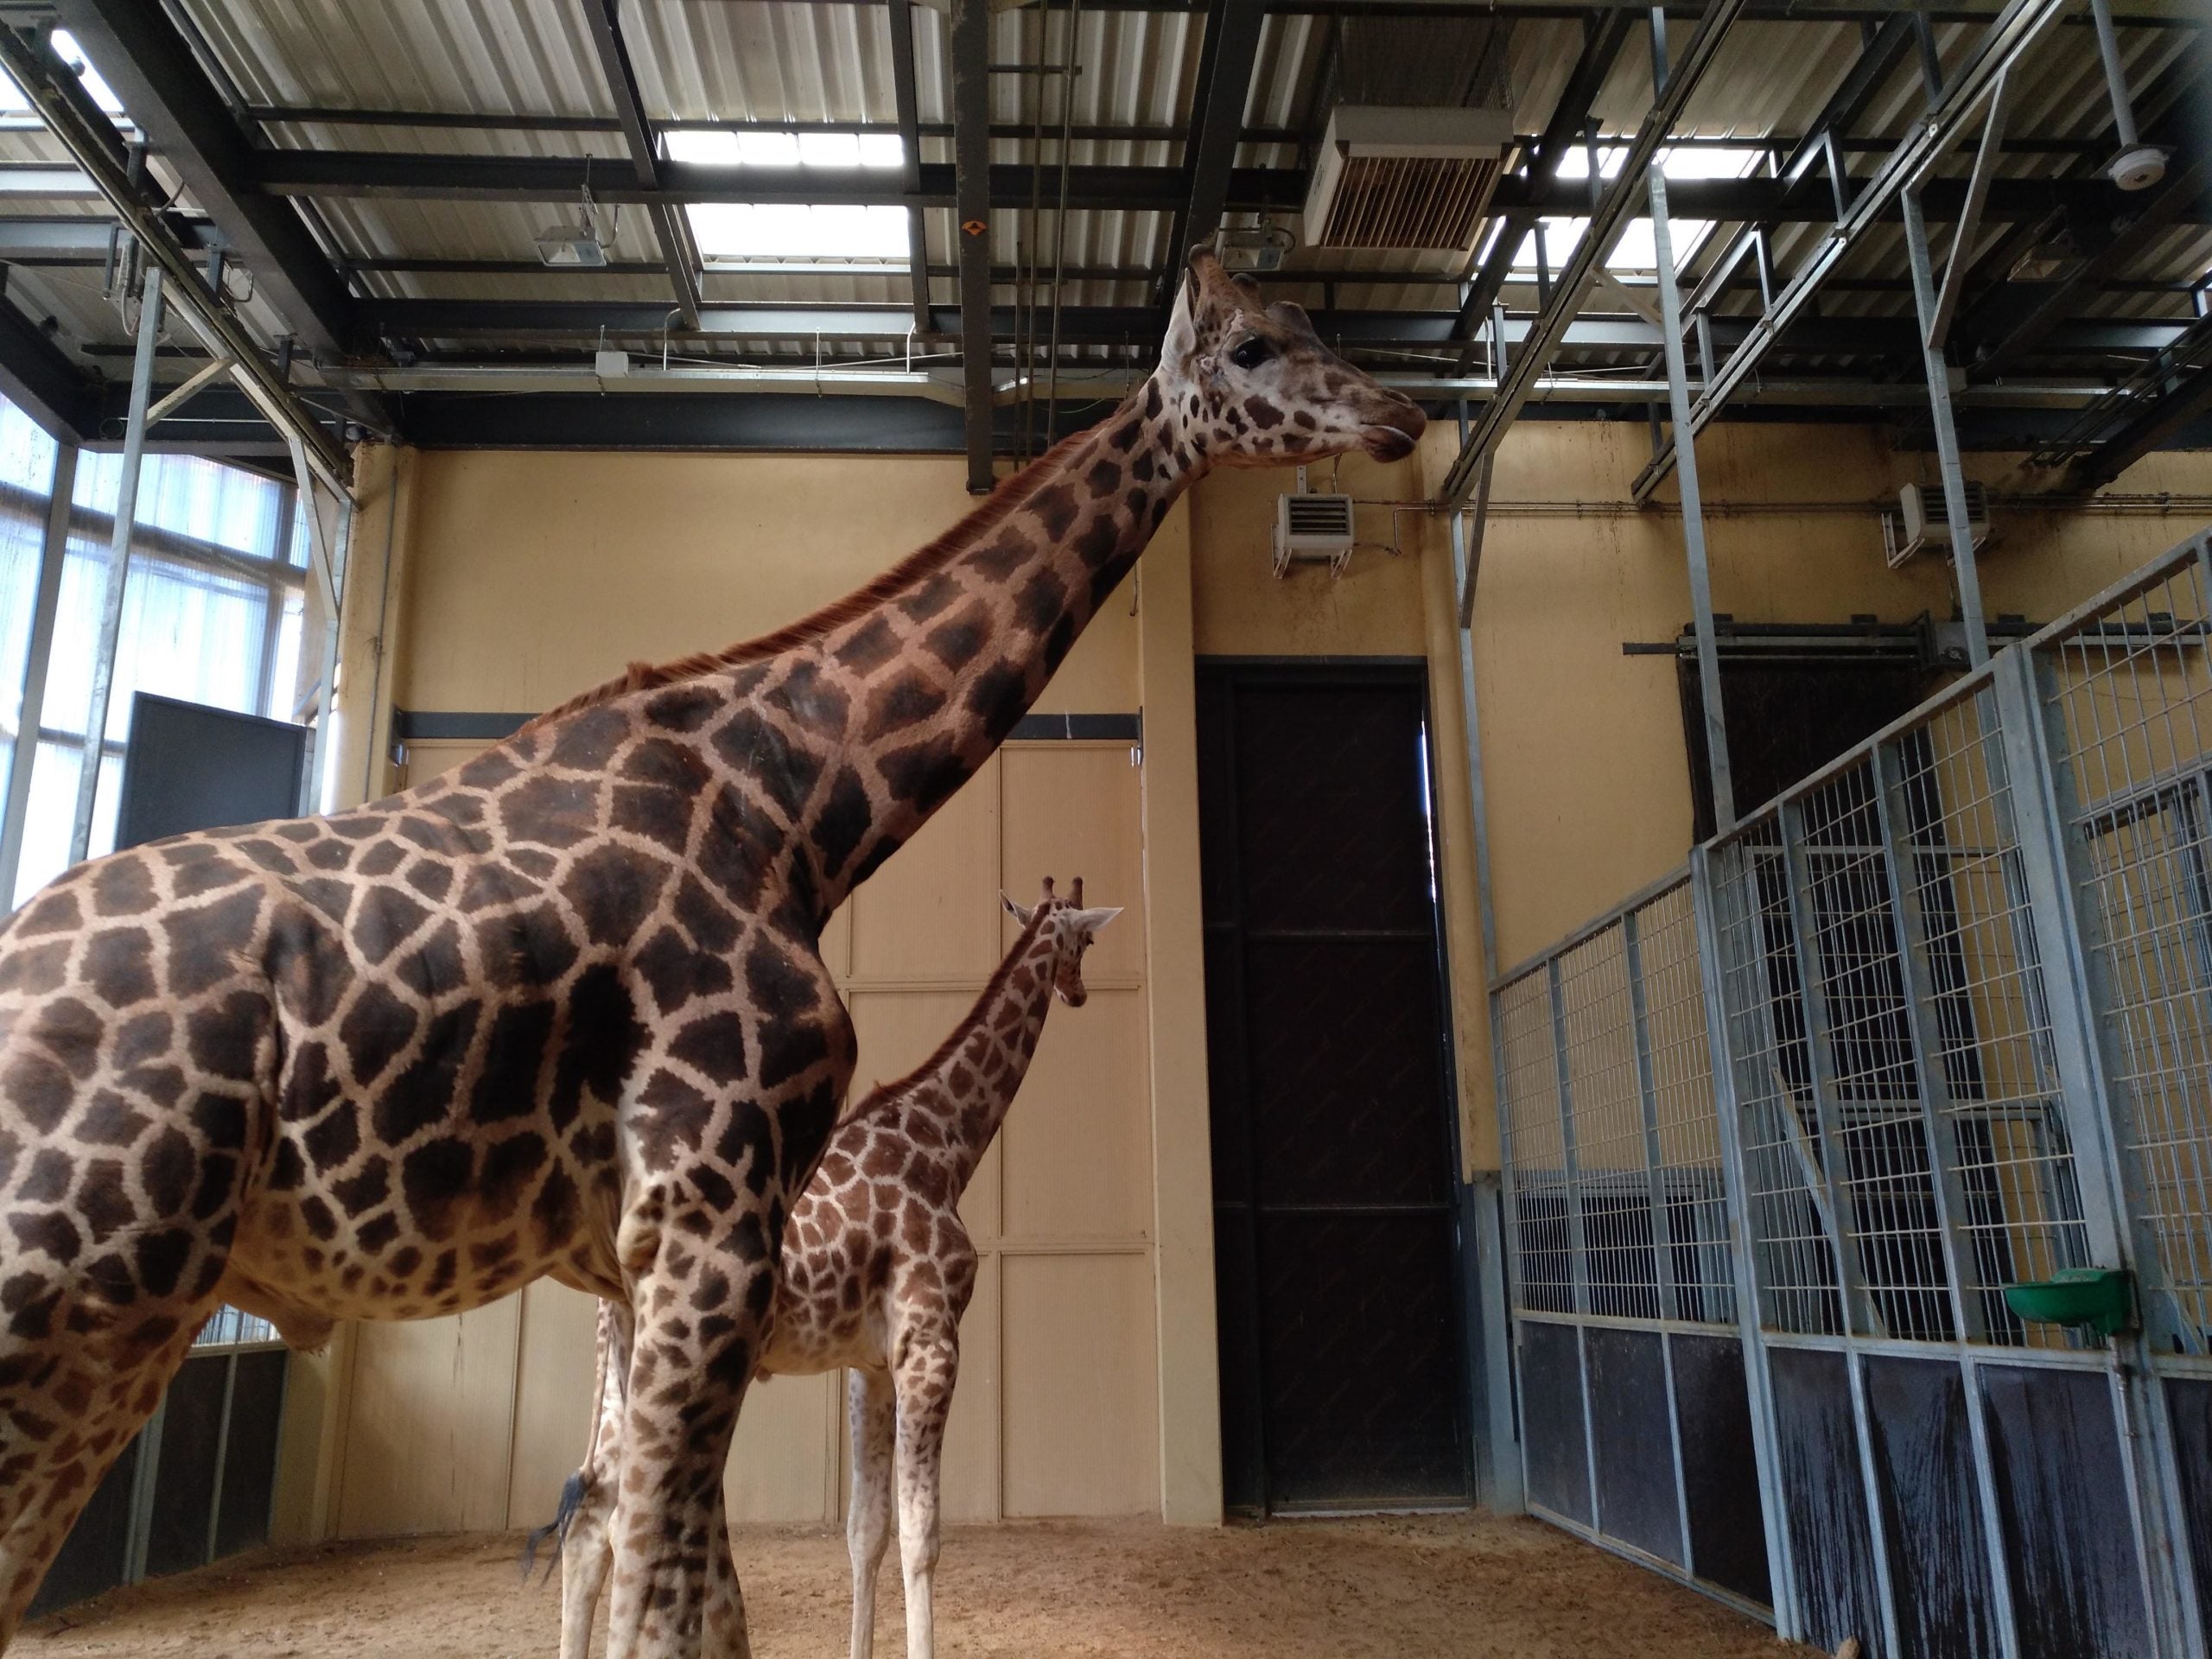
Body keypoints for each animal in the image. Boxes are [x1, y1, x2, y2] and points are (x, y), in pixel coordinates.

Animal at [537, 875, 1123, 1654]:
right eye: (1085, 938)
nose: (1078, 992)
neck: (946, 1141)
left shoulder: (867, 1364)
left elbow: (864, 1533)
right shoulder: (930, 1345)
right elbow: (921, 1538)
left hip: (625, 1365)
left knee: (593, 1519)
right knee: (628, 1523)